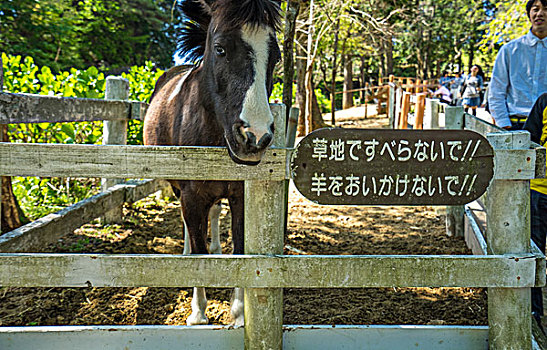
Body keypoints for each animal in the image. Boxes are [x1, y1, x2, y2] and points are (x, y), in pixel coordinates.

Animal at [143, 0, 280, 326]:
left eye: (276, 56)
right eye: (220, 49)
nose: (255, 136)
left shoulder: (240, 195)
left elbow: (240, 251)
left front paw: (240, 314)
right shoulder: (191, 196)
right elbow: (199, 254)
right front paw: (198, 313)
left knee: (215, 213)